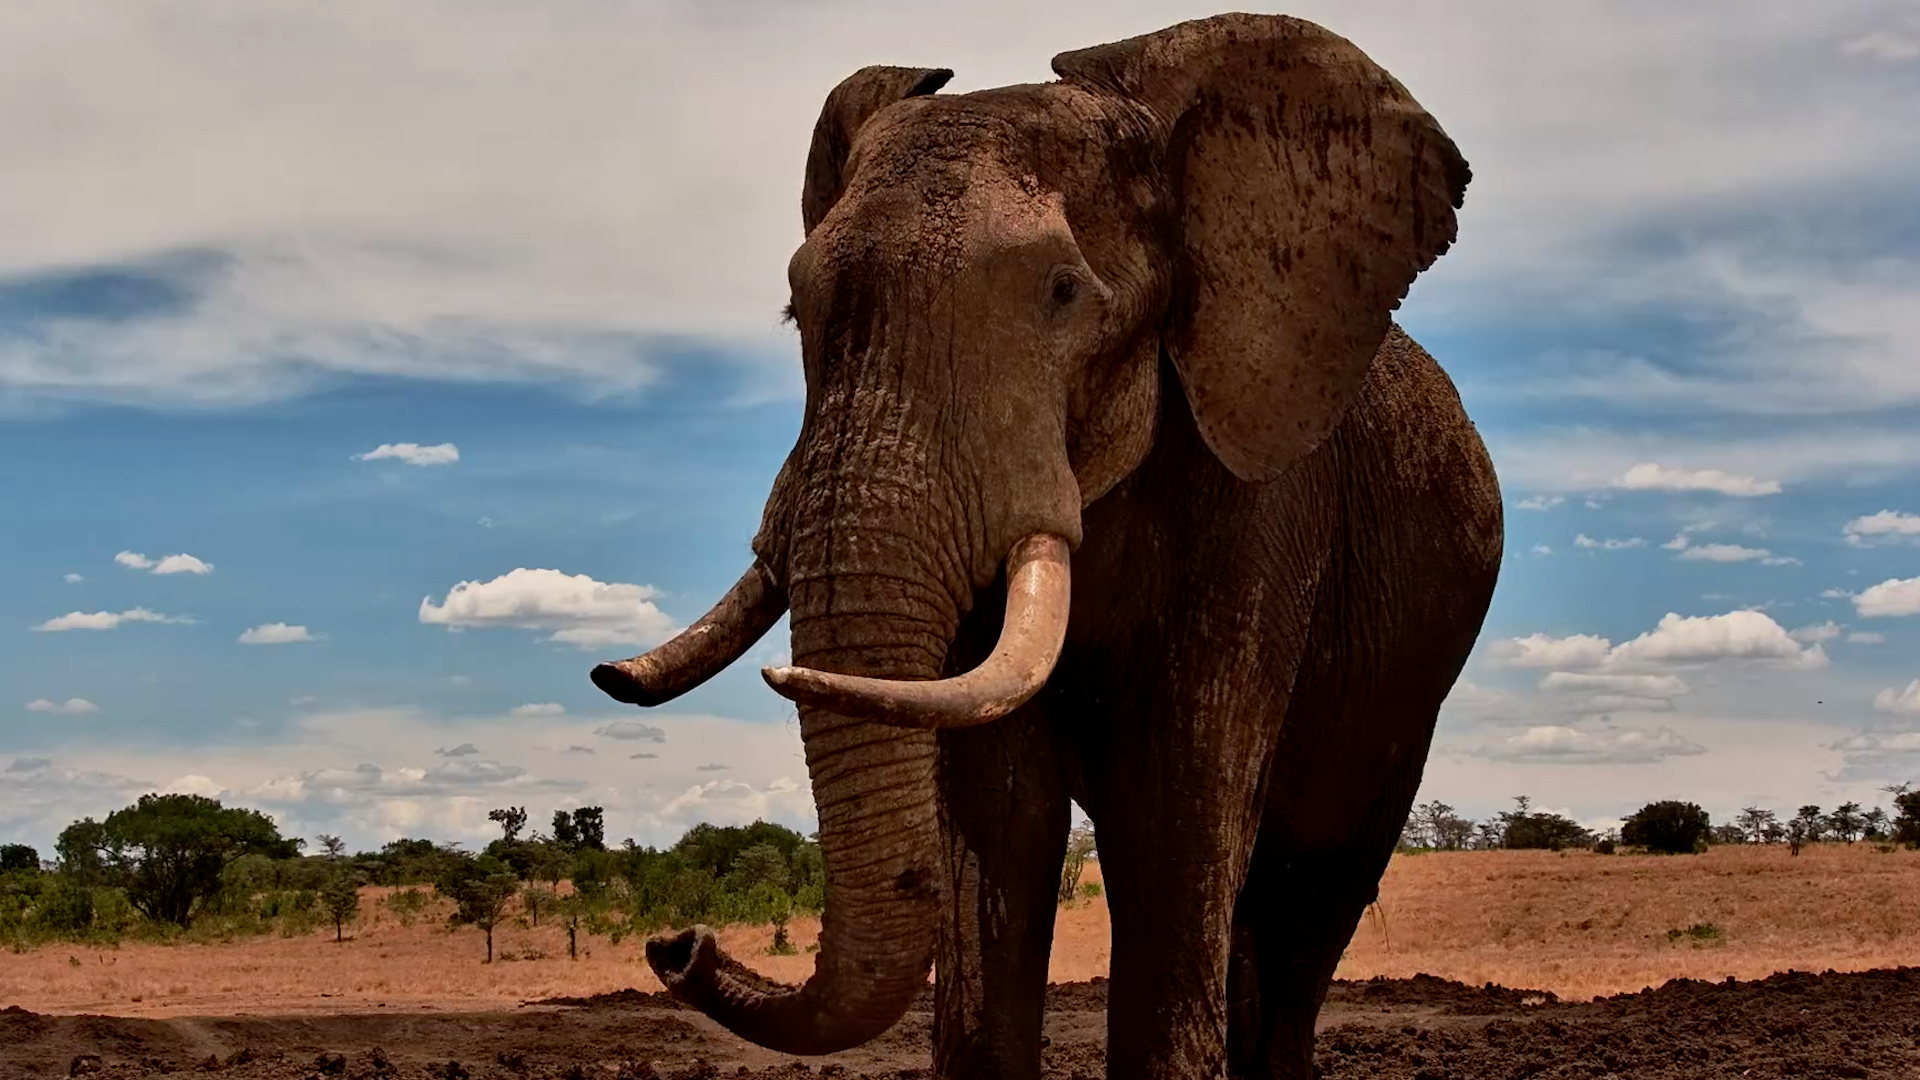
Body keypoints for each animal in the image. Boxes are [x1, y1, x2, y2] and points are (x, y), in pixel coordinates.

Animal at [588, 12, 1503, 1080]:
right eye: (796, 308)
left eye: (1064, 291)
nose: (677, 945)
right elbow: (1001, 817)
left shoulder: (1262, 498)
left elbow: (1175, 809)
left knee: (1316, 878)